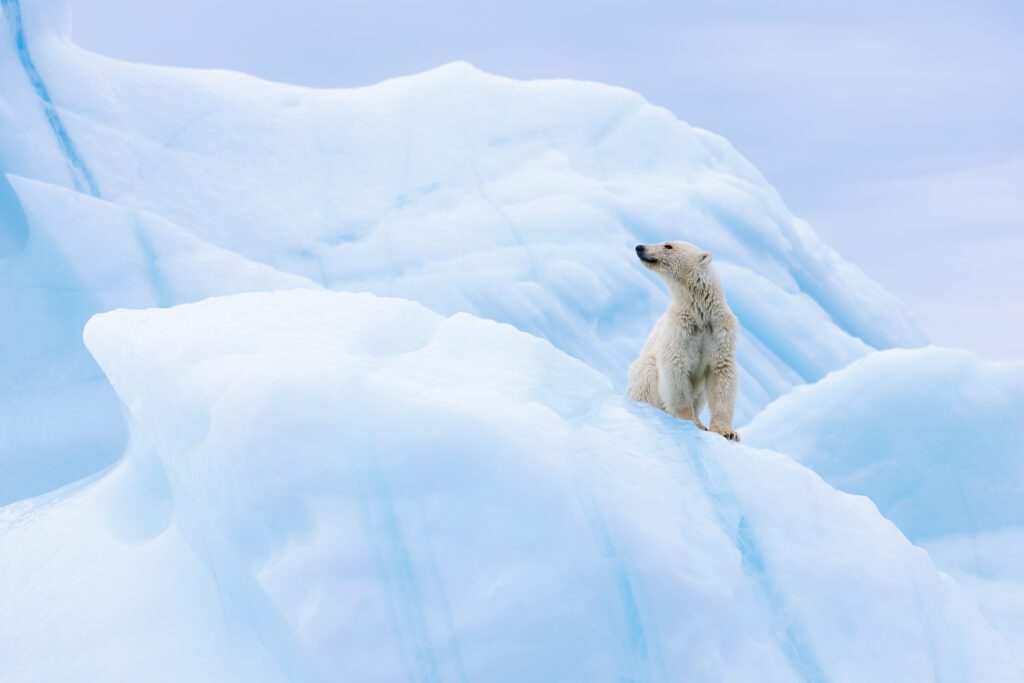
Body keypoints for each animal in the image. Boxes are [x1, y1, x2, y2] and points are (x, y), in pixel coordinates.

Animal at [627, 241, 740, 441]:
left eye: (668, 246)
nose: (640, 247)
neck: (701, 314)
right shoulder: (679, 329)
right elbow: (675, 367)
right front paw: (693, 422)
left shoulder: (721, 333)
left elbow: (721, 372)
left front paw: (727, 432)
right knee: (647, 372)